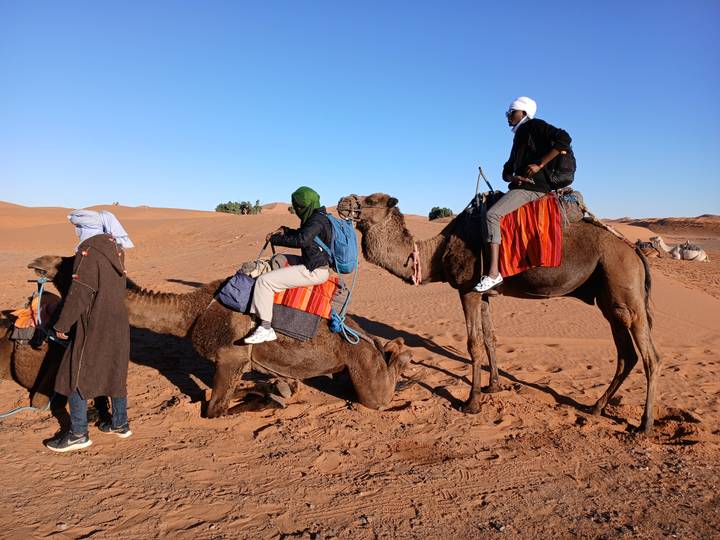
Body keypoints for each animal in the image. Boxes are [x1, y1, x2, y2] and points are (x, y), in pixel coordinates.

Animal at [2, 255, 411, 418]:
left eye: (69, 264)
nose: (36, 264)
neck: (192, 311)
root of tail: (359, 334)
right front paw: (272, 388)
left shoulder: (231, 355)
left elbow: (213, 410)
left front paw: (265, 399)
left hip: (360, 360)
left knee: (377, 396)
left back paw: (403, 357)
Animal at [337, 193, 662, 432]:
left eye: (370, 200)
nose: (342, 201)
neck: (436, 254)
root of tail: (635, 250)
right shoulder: (485, 293)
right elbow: (490, 338)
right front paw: (493, 386)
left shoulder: (467, 289)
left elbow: (473, 345)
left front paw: (471, 403)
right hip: (609, 299)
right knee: (627, 355)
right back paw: (595, 407)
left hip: (624, 288)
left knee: (650, 358)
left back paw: (643, 425)